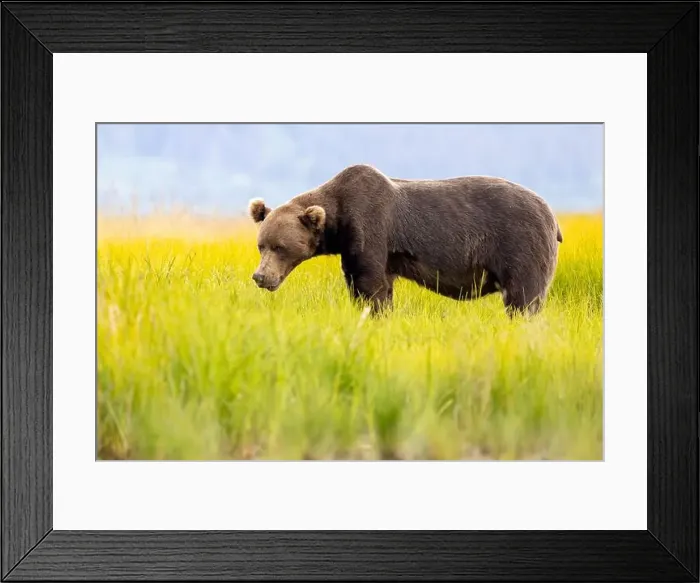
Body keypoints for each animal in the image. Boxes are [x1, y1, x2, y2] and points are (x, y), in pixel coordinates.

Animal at [248, 163, 563, 317]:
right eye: (261, 246)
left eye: (280, 247)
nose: (260, 276)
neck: (338, 222)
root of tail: (551, 212)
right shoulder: (362, 251)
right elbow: (370, 284)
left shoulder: (371, 227)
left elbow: (370, 285)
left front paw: (375, 314)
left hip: (521, 241)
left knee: (524, 296)